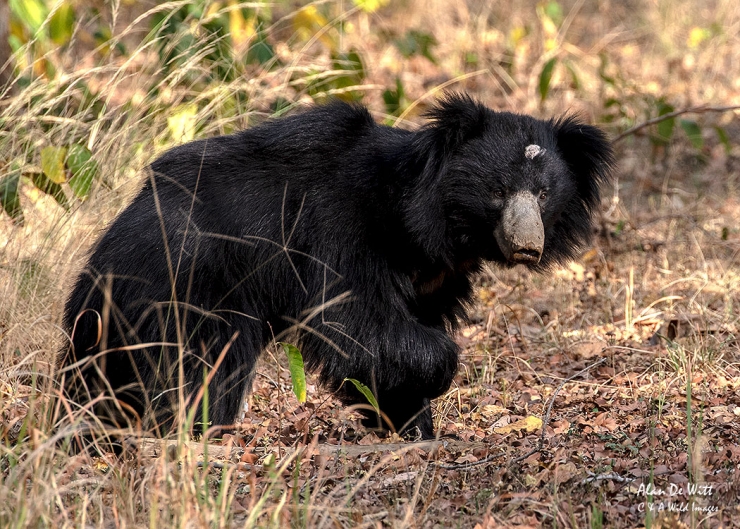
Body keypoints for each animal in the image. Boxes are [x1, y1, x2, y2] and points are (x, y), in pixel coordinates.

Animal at [58, 93, 613, 441]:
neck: (427, 221)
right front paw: (433, 382)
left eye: (544, 194)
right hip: (189, 285)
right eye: (498, 191)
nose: (527, 246)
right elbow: (358, 324)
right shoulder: (338, 228)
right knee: (204, 366)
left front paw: (414, 426)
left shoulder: (435, 275)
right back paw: (199, 431)